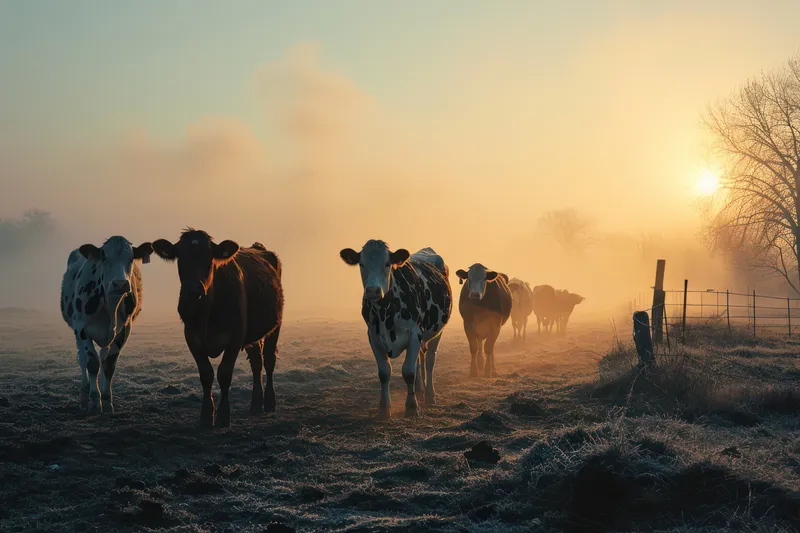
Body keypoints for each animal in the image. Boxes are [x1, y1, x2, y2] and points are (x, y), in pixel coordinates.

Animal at [60, 237, 153, 414]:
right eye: (104, 257)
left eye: (131, 259)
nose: (120, 283)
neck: (110, 306)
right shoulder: (82, 329)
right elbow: (91, 362)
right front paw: (95, 402)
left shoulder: (124, 330)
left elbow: (108, 365)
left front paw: (107, 400)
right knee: (82, 358)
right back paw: (85, 389)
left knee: (103, 357)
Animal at [152, 229, 283, 429]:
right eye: (181, 258)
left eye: (209, 259)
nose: (193, 289)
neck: (206, 312)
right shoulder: (192, 338)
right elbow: (206, 374)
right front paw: (206, 416)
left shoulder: (235, 339)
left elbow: (224, 374)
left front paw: (223, 417)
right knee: (256, 363)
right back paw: (255, 404)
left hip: (275, 325)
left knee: (268, 360)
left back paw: (269, 403)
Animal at [340, 241, 452, 420]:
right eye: (361, 264)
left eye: (387, 264)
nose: (372, 291)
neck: (385, 312)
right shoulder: (374, 336)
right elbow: (384, 372)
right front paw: (384, 409)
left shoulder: (414, 333)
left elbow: (408, 372)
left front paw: (412, 407)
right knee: (419, 358)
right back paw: (419, 389)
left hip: (437, 331)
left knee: (429, 361)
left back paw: (429, 395)